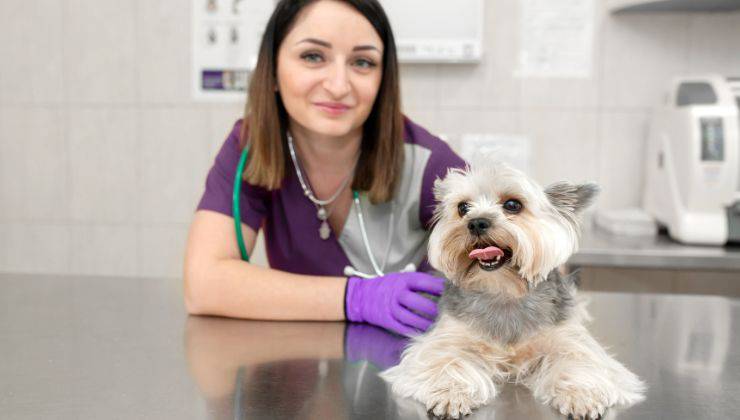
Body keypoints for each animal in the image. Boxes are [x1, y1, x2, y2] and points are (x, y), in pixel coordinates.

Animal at [382, 162, 648, 418]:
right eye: (463, 208)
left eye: (512, 205)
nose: (476, 222)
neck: (504, 292)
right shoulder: (448, 337)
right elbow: (446, 360)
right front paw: (451, 393)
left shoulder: (567, 339)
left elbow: (579, 361)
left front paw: (581, 395)